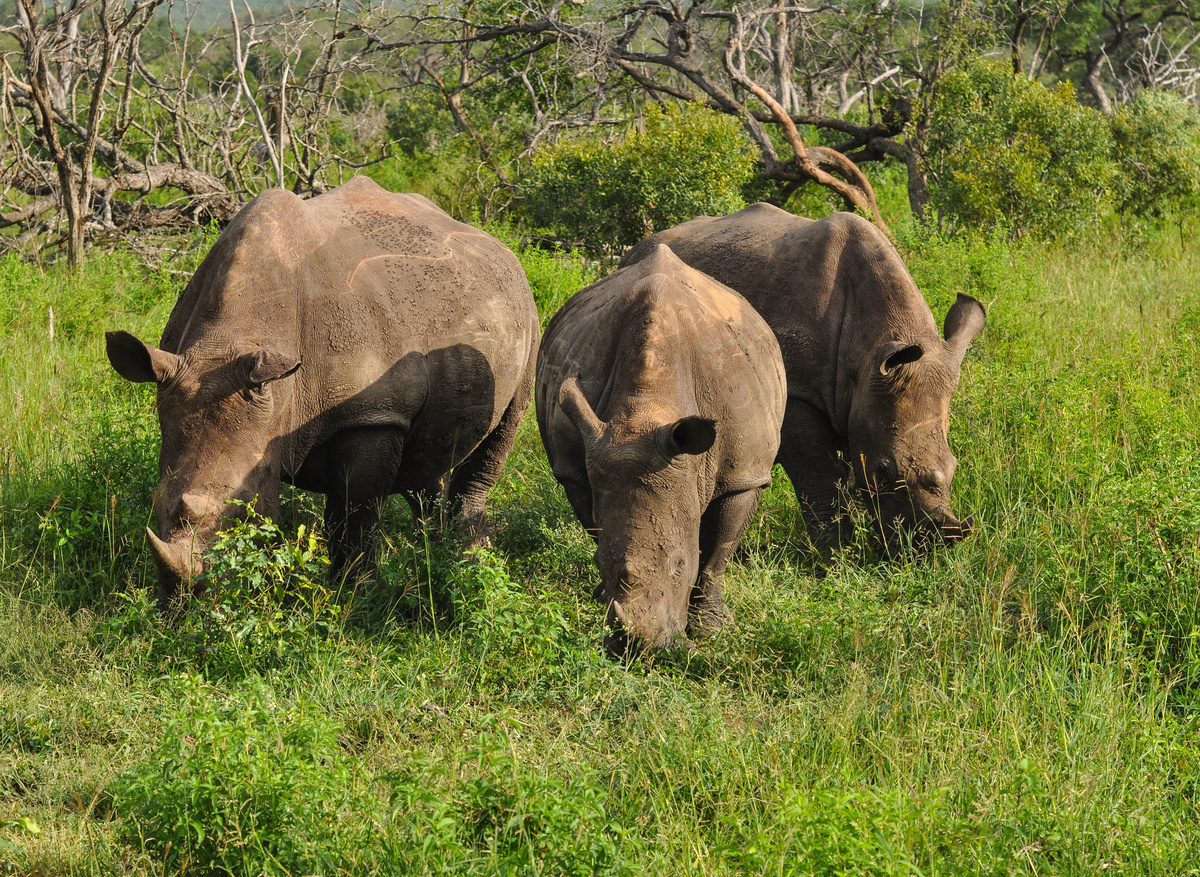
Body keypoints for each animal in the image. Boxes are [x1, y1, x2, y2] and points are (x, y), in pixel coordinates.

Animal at [106, 176, 539, 607]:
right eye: (154, 504)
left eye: (246, 514)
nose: (185, 605)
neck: (228, 342)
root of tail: (503, 249)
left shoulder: (370, 412)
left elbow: (352, 516)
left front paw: (356, 596)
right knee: (427, 454)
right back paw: (433, 551)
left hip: (528, 315)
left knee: (501, 431)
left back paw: (467, 560)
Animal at [537, 244, 786, 653]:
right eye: (599, 561)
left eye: (680, 564)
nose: (644, 649)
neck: (647, 410)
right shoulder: (576, 465)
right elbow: (596, 527)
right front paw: (603, 598)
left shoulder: (744, 474)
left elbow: (719, 551)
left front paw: (712, 629)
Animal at [621, 204, 985, 551]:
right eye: (882, 471)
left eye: (955, 466)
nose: (924, 550)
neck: (869, 346)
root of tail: (635, 250)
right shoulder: (798, 393)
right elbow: (819, 477)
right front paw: (837, 555)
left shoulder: (861, 395)